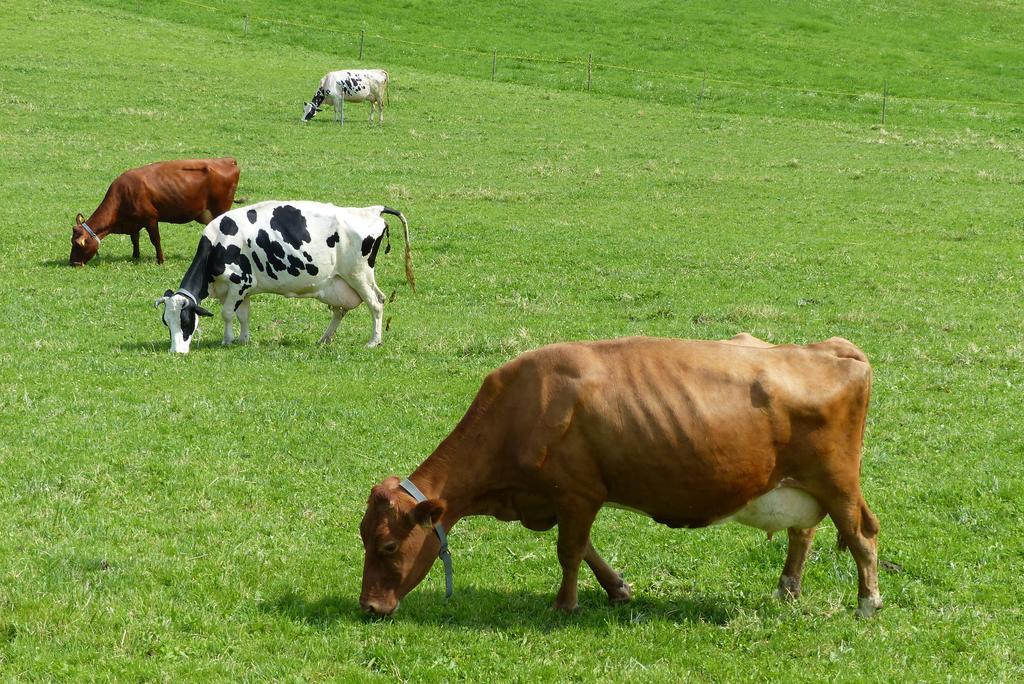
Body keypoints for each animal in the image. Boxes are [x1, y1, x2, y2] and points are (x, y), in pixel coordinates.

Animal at [70, 158, 241, 266]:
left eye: (78, 244)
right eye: (71, 241)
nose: (73, 263)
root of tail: (228, 160)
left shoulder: (151, 218)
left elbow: (155, 240)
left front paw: (160, 260)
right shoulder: (134, 222)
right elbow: (135, 239)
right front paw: (135, 256)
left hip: (220, 209)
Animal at [153, 200, 413, 352]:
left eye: (186, 321)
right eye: (167, 322)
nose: (176, 352)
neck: (218, 242)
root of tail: (372, 211)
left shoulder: (239, 282)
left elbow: (227, 314)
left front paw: (227, 340)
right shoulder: (245, 288)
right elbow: (243, 315)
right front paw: (243, 339)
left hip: (358, 274)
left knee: (376, 303)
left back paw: (373, 341)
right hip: (338, 281)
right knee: (341, 310)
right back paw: (324, 339)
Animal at [360, 335, 880, 618]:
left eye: (388, 546)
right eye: (363, 537)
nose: (368, 606)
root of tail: (834, 350)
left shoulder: (576, 492)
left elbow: (569, 551)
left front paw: (564, 605)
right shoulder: (564, 498)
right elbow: (586, 549)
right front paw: (617, 589)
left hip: (838, 484)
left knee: (862, 537)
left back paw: (867, 603)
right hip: (800, 488)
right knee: (803, 533)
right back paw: (788, 589)